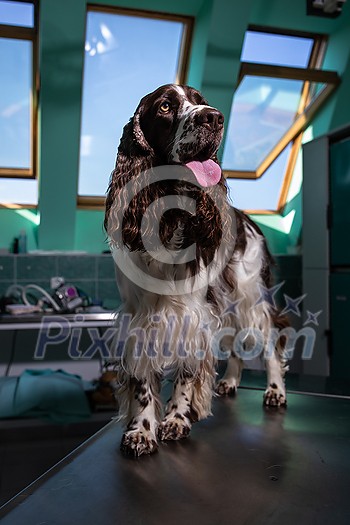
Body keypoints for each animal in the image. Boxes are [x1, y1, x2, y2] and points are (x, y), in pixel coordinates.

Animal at [104, 84, 288, 456]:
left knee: (270, 340)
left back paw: (275, 390)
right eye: (165, 106)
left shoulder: (195, 315)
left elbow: (188, 373)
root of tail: (246, 218)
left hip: (250, 296)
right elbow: (143, 382)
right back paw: (230, 381)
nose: (214, 118)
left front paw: (176, 419)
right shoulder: (139, 318)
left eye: (201, 99)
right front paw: (142, 429)